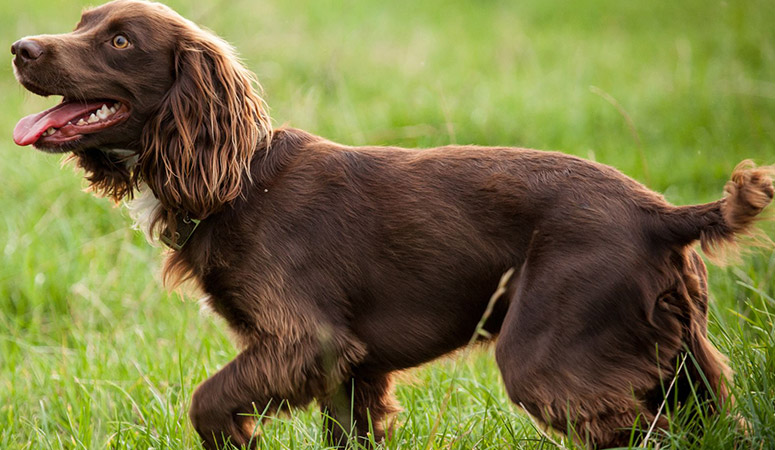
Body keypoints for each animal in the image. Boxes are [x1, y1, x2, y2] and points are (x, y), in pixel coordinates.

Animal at [12, 1, 775, 448]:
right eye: (81, 22)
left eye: (118, 40)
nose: (19, 47)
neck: (239, 182)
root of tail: (663, 215)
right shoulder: (348, 371)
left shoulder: (306, 342)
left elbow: (206, 401)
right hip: (679, 355)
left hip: (549, 356)